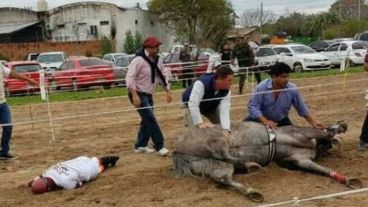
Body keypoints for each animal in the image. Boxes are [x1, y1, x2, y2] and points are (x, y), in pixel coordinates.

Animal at [173, 121, 362, 202]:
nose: (344, 125)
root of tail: (178, 147)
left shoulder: (301, 161)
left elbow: (321, 169)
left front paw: (348, 179)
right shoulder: (303, 133)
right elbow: (322, 132)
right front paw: (338, 127)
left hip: (214, 165)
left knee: (223, 177)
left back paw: (252, 189)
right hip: (218, 140)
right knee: (223, 153)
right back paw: (250, 165)